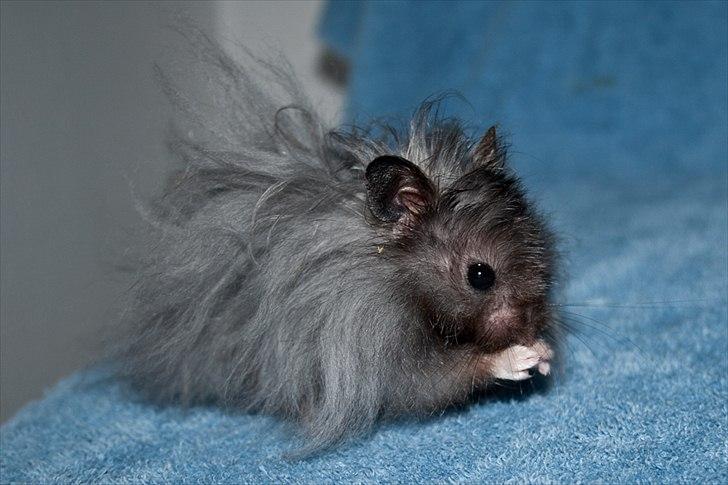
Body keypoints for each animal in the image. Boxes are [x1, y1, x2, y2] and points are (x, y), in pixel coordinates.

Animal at [117, 27, 558, 454]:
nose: (532, 326)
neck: (393, 274)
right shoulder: (372, 343)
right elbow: (437, 375)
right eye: (480, 275)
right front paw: (523, 356)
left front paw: (546, 356)